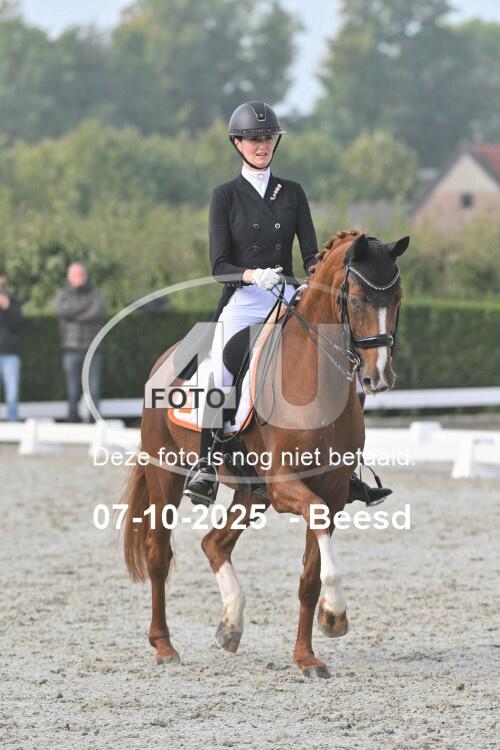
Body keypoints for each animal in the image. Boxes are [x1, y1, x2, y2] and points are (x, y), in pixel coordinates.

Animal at [122, 229, 409, 679]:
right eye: (360, 298)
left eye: (396, 299)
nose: (377, 378)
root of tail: (164, 360)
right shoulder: (287, 488)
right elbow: (315, 541)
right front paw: (336, 615)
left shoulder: (331, 490)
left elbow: (309, 578)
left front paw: (308, 653)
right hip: (166, 475)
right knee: (158, 554)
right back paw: (165, 646)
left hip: (250, 493)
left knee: (214, 544)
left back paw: (231, 625)